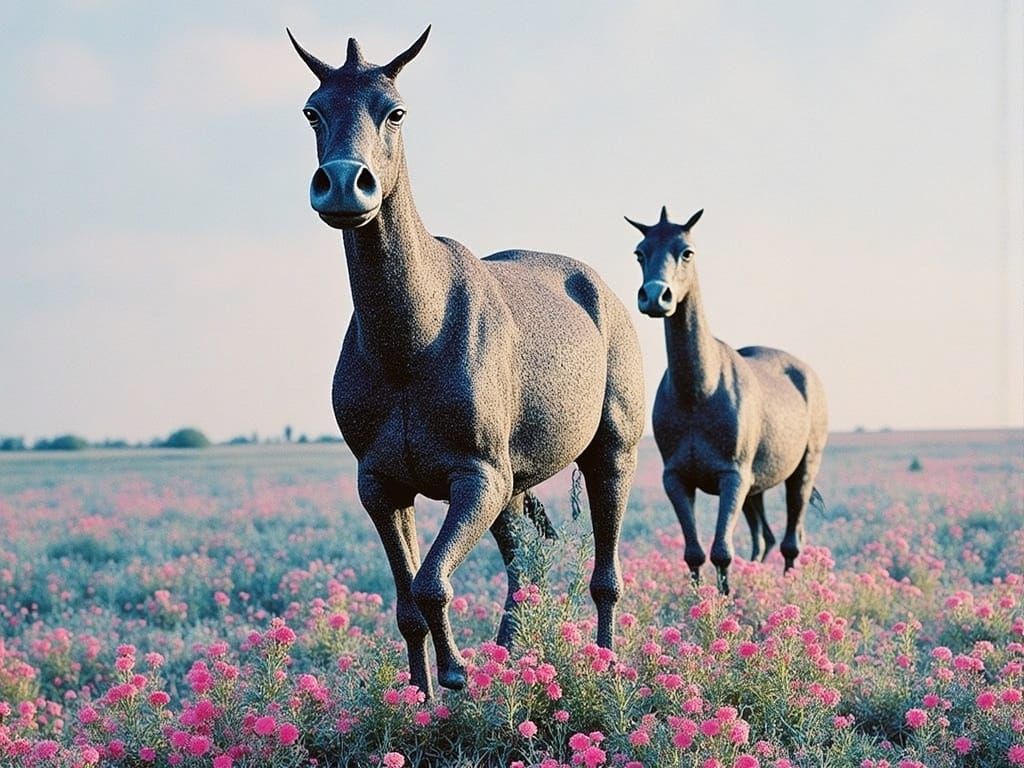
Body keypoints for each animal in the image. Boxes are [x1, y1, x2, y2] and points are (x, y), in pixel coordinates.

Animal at [288, 25, 645, 696]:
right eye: (312, 111)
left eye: (396, 111)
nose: (345, 183)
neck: (411, 343)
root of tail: (603, 291)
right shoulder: (381, 485)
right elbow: (407, 601)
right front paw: (421, 696)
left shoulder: (478, 477)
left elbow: (432, 581)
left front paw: (456, 673)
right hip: (514, 485)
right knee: (523, 572)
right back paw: (508, 660)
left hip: (610, 453)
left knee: (605, 573)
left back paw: (606, 664)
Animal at [625, 206, 827, 595]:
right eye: (640, 252)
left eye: (687, 252)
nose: (656, 297)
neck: (697, 393)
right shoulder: (677, 479)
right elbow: (694, 552)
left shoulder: (732, 477)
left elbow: (721, 551)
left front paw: (724, 601)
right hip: (755, 488)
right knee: (764, 538)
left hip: (802, 470)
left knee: (791, 540)